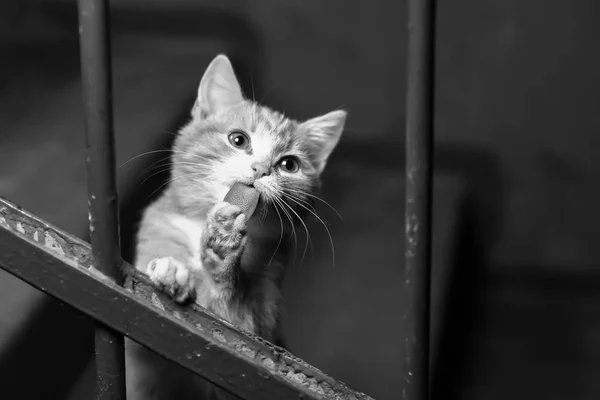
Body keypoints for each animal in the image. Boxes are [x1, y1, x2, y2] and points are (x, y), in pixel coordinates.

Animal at [124, 54, 346, 400]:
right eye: (238, 140)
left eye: (289, 165)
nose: (261, 169)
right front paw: (173, 270)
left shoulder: (259, 320)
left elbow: (238, 337)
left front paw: (223, 250)